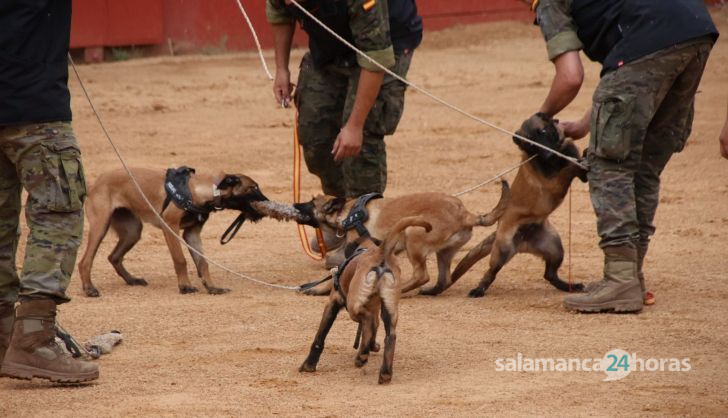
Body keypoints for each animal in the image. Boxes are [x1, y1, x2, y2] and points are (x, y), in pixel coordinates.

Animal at [77, 167, 270, 298]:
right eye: (253, 188)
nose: (268, 201)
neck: (198, 189)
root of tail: (95, 182)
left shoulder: (192, 234)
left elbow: (203, 263)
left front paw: (211, 287)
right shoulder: (170, 227)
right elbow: (180, 260)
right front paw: (185, 286)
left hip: (132, 231)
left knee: (114, 257)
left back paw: (132, 280)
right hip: (100, 226)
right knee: (85, 261)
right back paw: (89, 288)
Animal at [290, 185, 506, 296]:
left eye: (311, 203)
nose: (294, 204)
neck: (349, 212)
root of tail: (466, 215)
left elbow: (336, 274)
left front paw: (319, 288)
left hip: (413, 233)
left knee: (421, 275)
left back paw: (400, 289)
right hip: (444, 252)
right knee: (444, 279)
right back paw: (430, 290)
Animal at [298, 217, 430, 384]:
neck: (368, 248)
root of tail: (381, 253)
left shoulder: (332, 303)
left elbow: (320, 337)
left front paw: (309, 365)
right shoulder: (375, 308)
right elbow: (375, 329)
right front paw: (372, 346)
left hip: (352, 305)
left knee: (367, 321)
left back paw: (361, 357)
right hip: (390, 309)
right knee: (390, 336)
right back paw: (384, 372)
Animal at [446, 112, 588, 298]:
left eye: (545, 129)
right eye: (533, 137)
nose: (547, 151)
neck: (553, 156)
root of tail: (523, 241)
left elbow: (575, 163)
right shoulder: (553, 181)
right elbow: (569, 167)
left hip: (555, 249)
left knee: (549, 275)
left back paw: (570, 286)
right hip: (503, 250)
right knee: (491, 273)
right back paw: (478, 290)